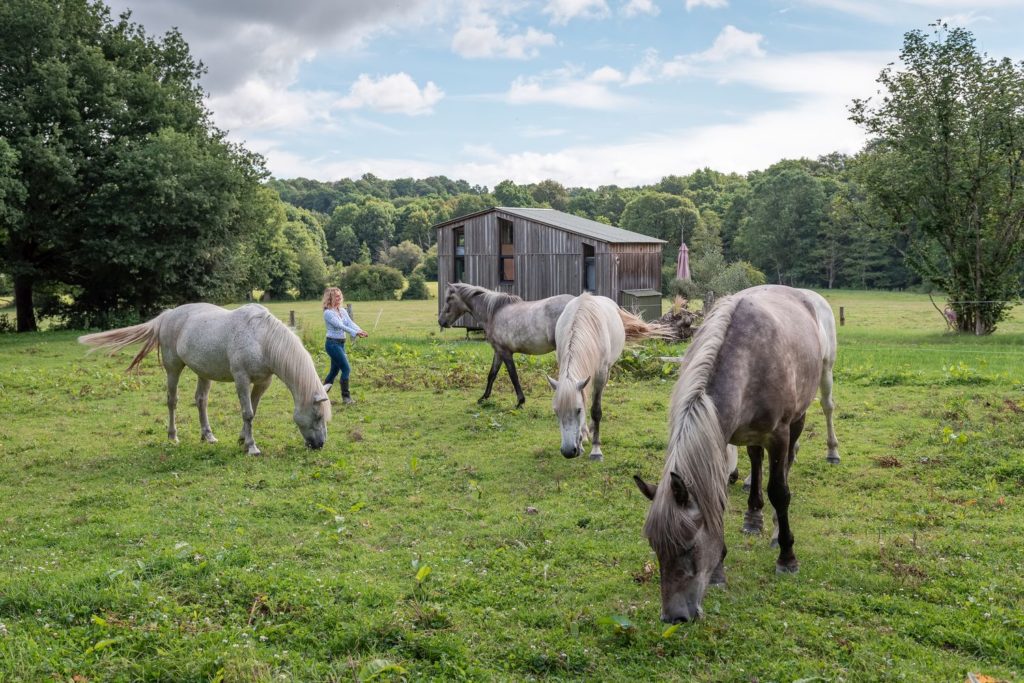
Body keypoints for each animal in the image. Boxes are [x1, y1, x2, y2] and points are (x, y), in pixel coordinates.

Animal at [79, 303, 327, 454]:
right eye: (317, 415)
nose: (320, 445)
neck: (261, 338)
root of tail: (167, 315)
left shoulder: (262, 382)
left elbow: (253, 411)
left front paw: (241, 439)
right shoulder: (241, 379)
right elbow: (247, 413)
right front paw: (251, 447)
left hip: (204, 372)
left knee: (201, 401)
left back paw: (208, 436)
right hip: (173, 368)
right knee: (172, 401)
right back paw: (173, 437)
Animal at [634, 284, 843, 626]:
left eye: (689, 547)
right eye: (654, 545)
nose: (674, 617)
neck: (746, 359)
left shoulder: (779, 434)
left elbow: (780, 491)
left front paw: (787, 557)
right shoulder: (721, 437)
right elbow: (717, 499)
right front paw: (719, 571)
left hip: (812, 395)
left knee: (813, 426)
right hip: (751, 434)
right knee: (756, 461)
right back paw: (753, 516)